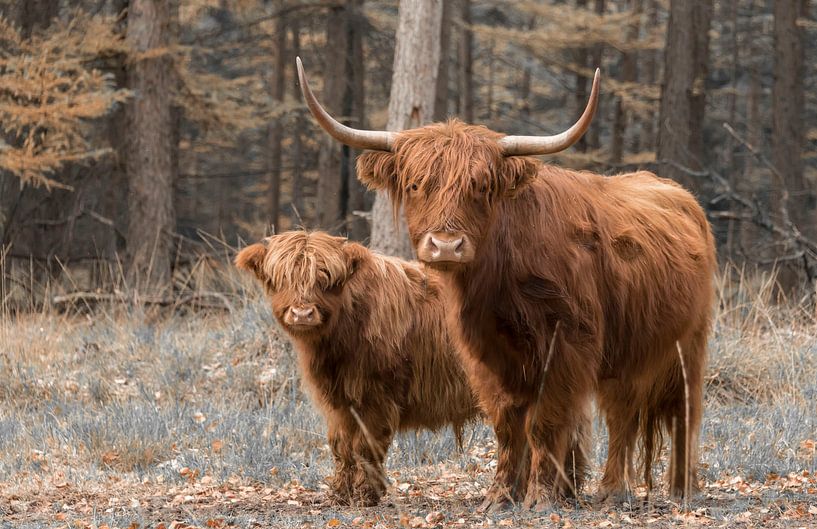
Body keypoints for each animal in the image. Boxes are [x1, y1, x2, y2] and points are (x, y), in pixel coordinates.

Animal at [234, 230, 478, 504]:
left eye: (326, 279)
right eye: (283, 278)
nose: (302, 314)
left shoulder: (375, 397)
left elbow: (364, 445)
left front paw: (365, 495)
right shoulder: (339, 403)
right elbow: (341, 446)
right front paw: (340, 493)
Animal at [298, 58, 712, 512]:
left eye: (480, 187)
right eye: (415, 185)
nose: (446, 244)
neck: (499, 291)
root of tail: (678, 194)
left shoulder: (566, 347)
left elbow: (544, 421)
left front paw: (540, 497)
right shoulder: (486, 357)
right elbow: (507, 424)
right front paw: (501, 495)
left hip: (684, 344)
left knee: (664, 413)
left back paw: (648, 489)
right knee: (627, 411)